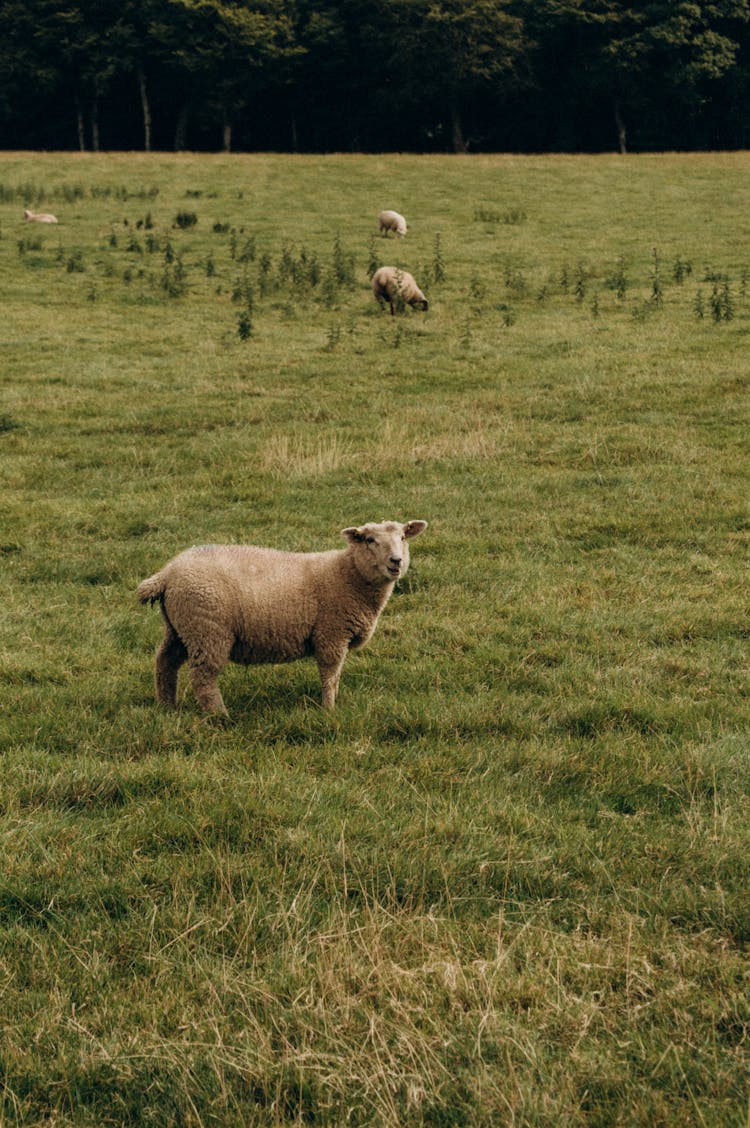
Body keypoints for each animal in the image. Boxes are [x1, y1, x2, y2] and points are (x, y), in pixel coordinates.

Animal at [135, 516, 426, 712]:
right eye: (369, 540)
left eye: (402, 538)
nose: (396, 561)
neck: (348, 574)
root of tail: (167, 573)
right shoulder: (331, 634)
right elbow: (330, 675)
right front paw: (329, 709)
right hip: (208, 629)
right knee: (203, 678)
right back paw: (219, 716)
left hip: (181, 627)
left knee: (165, 662)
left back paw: (167, 706)